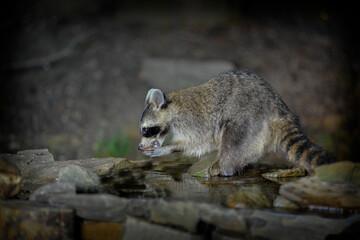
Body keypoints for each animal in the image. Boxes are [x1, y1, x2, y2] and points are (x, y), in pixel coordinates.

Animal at [137, 69, 334, 176]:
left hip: (248, 117)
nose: (139, 147)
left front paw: (169, 148)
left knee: (231, 145)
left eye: (146, 130)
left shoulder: (193, 119)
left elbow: (198, 142)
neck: (171, 106)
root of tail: (278, 107)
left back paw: (224, 170)